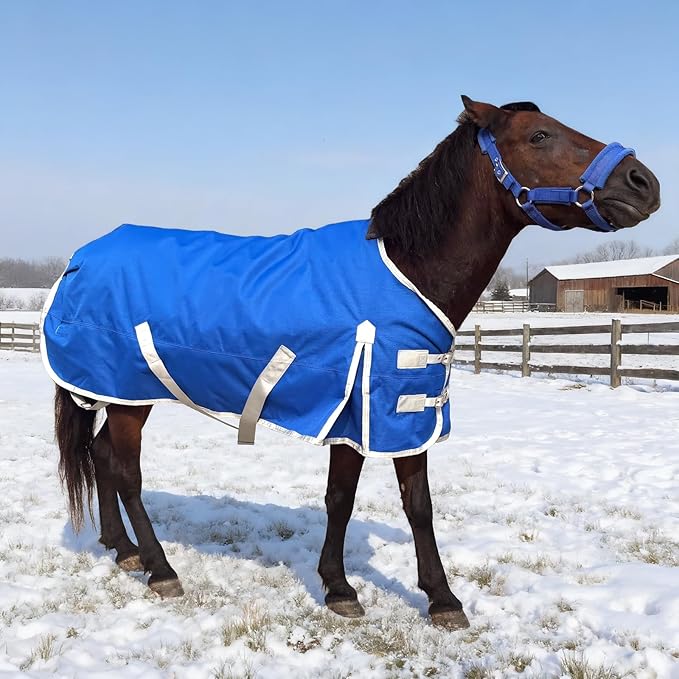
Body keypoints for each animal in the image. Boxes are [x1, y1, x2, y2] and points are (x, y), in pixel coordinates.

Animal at [47, 96, 660, 631]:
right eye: (538, 135)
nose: (644, 182)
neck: (409, 268)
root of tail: (81, 258)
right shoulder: (369, 409)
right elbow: (360, 500)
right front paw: (357, 591)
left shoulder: (394, 407)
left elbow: (400, 503)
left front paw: (425, 597)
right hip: (130, 393)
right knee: (126, 470)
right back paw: (159, 569)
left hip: (123, 393)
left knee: (101, 457)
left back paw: (122, 549)